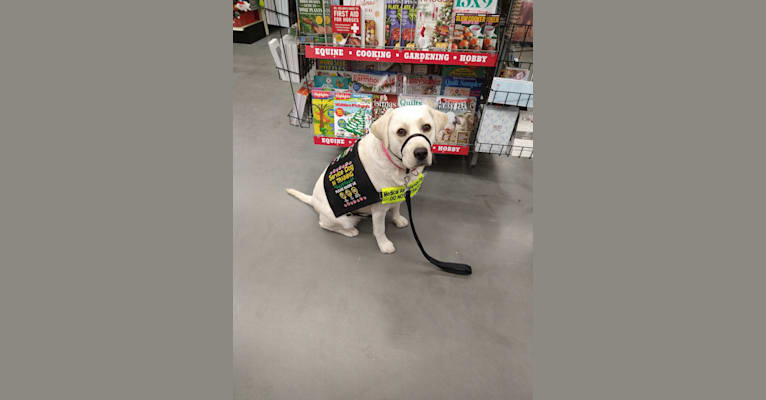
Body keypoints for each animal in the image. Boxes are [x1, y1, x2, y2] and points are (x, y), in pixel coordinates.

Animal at [286, 103, 450, 253]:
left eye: (427, 127)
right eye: (401, 132)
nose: (421, 152)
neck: (396, 165)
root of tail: (313, 200)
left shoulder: (397, 194)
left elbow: (396, 208)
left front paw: (397, 219)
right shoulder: (379, 210)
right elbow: (379, 230)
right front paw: (384, 245)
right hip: (343, 219)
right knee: (325, 225)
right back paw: (350, 231)